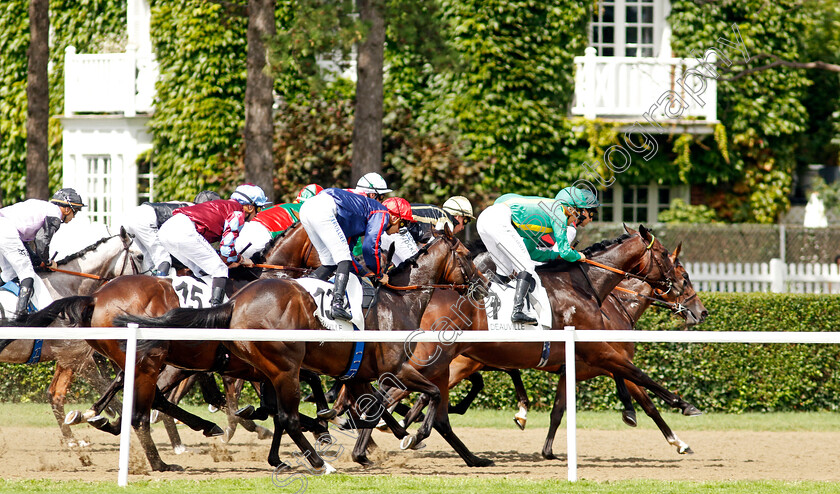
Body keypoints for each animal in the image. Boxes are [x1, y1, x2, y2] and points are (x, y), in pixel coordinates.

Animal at [117, 228, 482, 470]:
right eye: (466, 254)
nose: (483, 285)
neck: (400, 302)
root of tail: (235, 302)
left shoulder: (359, 375)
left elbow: (373, 406)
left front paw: (379, 436)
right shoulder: (396, 369)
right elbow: (430, 393)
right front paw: (414, 432)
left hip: (264, 368)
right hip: (280, 367)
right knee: (285, 417)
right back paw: (319, 462)